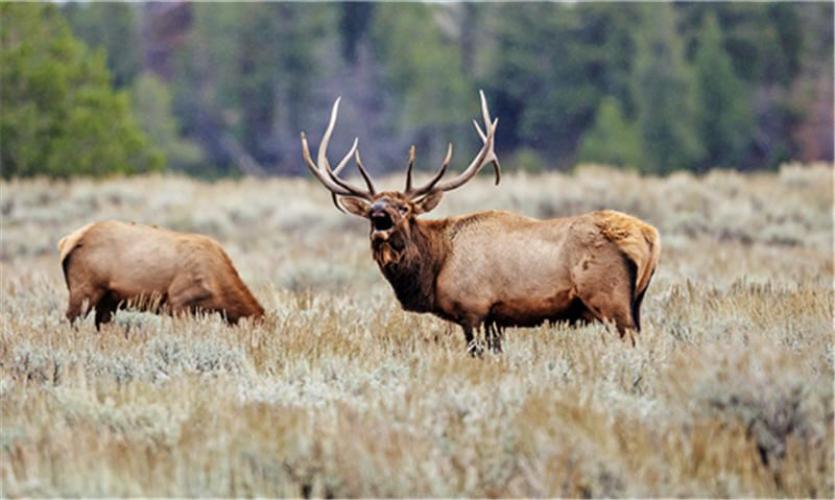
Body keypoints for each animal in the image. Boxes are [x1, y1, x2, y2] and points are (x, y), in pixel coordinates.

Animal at [58, 220, 265, 329]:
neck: (219, 290)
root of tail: (67, 242)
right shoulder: (178, 300)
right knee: (69, 320)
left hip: (107, 299)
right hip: (85, 289)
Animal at [301, 91, 660, 354]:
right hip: (635, 304)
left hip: (611, 302)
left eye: (404, 207)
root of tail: (650, 237)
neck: (436, 266)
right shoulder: (495, 319)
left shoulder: (472, 309)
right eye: (371, 209)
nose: (379, 213)